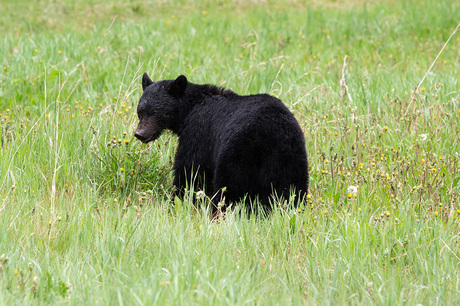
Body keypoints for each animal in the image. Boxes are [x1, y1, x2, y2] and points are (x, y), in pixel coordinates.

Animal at [135, 73, 310, 214]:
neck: (190, 108)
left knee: (229, 188)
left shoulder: (198, 132)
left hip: (237, 153)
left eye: (155, 112)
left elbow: (190, 170)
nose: (139, 134)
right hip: (291, 157)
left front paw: (176, 200)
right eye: (140, 111)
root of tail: (269, 133)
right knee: (293, 189)